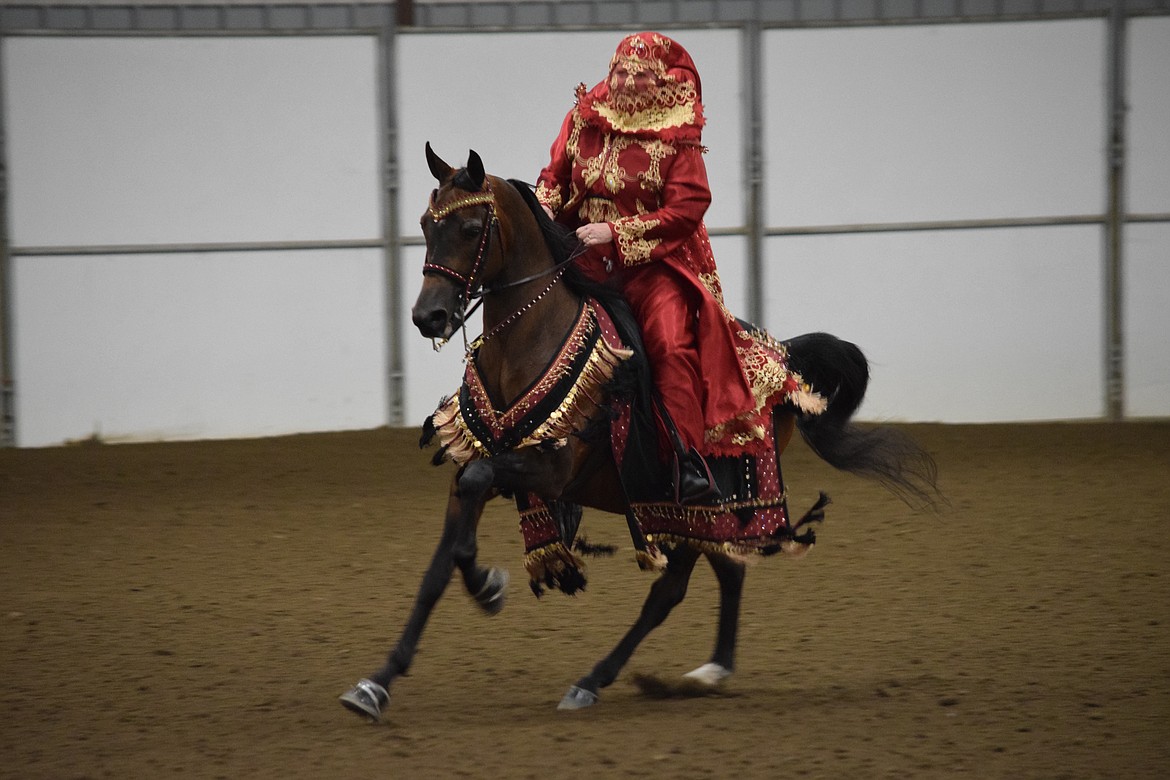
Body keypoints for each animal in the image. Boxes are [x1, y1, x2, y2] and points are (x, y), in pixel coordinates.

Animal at [339, 145, 940, 720]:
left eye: (468, 228)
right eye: (424, 223)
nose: (428, 316)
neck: (527, 344)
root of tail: (784, 357)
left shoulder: (551, 469)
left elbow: (480, 487)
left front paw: (487, 587)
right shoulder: (474, 461)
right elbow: (439, 564)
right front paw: (378, 682)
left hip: (705, 502)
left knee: (670, 590)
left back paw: (592, 681)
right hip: (691, 511)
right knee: (728, 571)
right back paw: (709, 672)